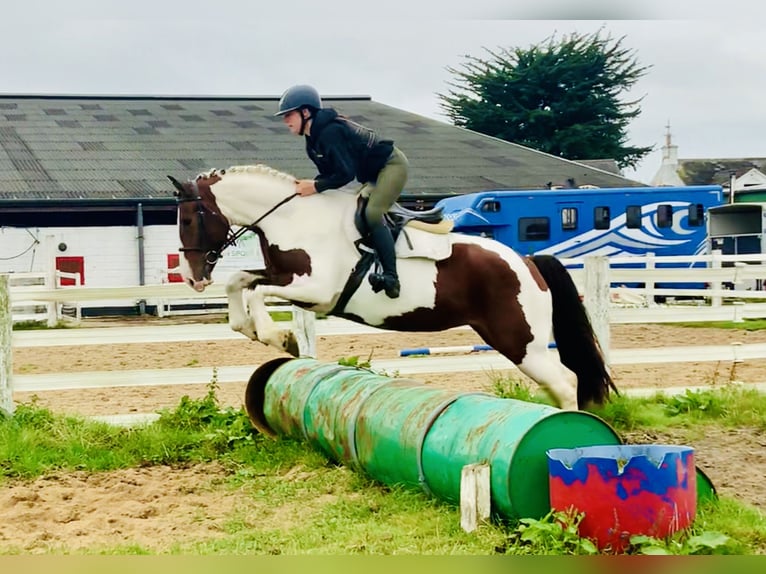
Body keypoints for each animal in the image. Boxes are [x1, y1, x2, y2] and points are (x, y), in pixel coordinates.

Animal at [168, 164, 616, 412]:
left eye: (189, 220)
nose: (191, 277)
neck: (293, 219)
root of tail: (528, 261)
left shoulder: (317, 291)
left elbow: (256, 291)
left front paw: (279, 338)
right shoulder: (286, 279)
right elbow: (240, 282)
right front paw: (258, 331)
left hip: (521, 342)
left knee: (566, 383)